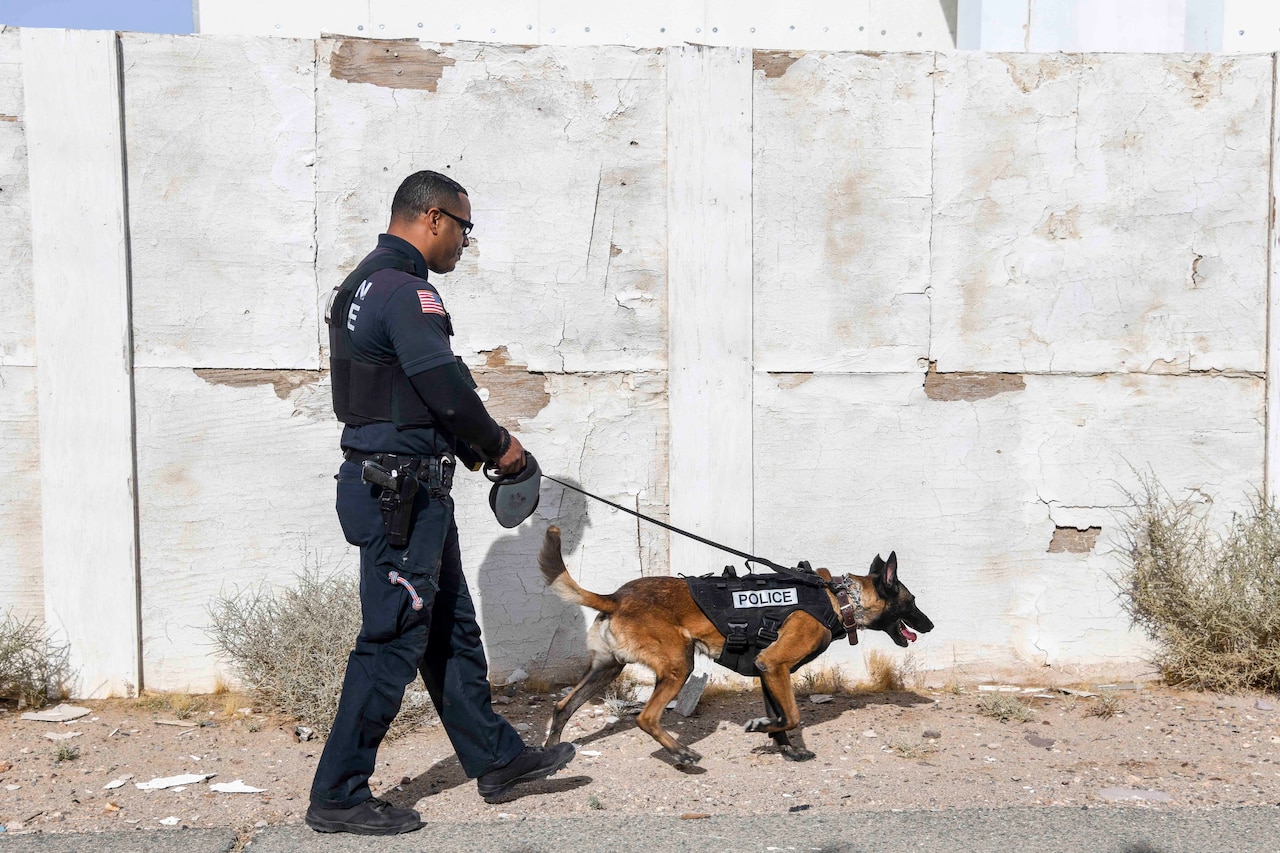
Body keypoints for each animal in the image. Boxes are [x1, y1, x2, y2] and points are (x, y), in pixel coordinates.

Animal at [535, 525, 936, 763]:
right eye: (912, 601)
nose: (930, 625)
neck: (840, 598)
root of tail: (615, 598)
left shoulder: (768, 671)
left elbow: (781, 717)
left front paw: (786, 748)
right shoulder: (775, 665)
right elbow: (792, 715)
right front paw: (765, 731)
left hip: (607, 668)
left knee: (562, 706)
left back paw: (552, 751)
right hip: (679, 665)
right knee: (646, 718)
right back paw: (681, 752)